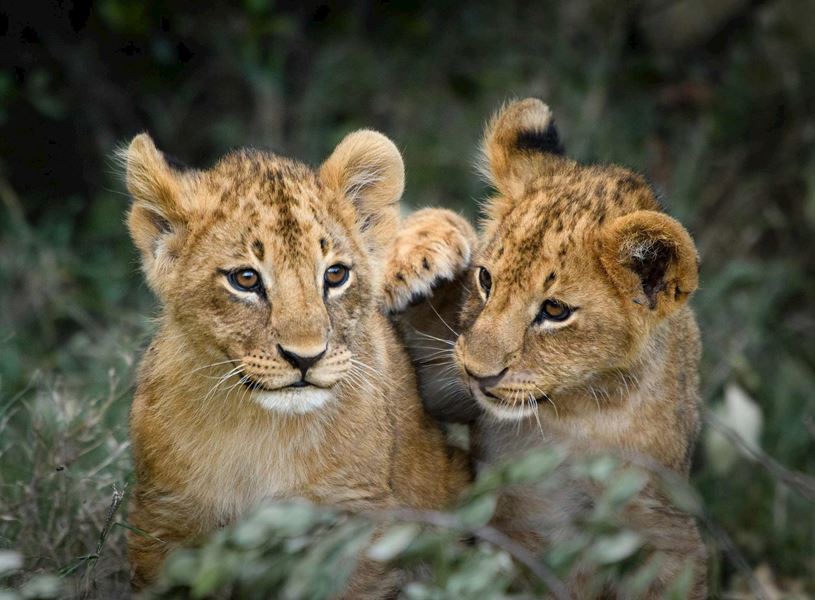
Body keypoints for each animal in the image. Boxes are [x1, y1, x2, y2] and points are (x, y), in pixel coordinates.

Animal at [121, 130, 470, 592]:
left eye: (336, 275)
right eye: (245, 279)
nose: (306, 357)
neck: (260, 430)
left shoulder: (356, 517)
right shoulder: (163, 518)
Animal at [384, 99, 707, 598]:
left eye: (555, 310)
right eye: (485, 279)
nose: (477, 373)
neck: (577, 409)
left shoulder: (665, 523)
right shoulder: (448, 385)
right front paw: (417, 251)